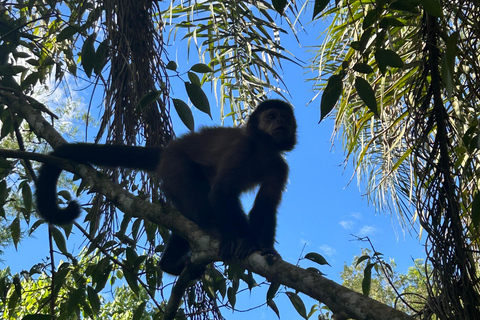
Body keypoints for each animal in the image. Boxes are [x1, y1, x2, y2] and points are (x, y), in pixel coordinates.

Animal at [35, 100, 296, 276]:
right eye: (271, 116)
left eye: (284, 118)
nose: (280, 123)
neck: (261, 147)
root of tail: (167, 151)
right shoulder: (242, 150)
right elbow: (221, 193)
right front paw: (243, 240)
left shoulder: (278, 165)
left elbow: (265, 206)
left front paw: (266, 250)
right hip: (176, 168)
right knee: (201, 206)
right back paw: (213, 231)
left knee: (189, 218)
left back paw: (168, 263)